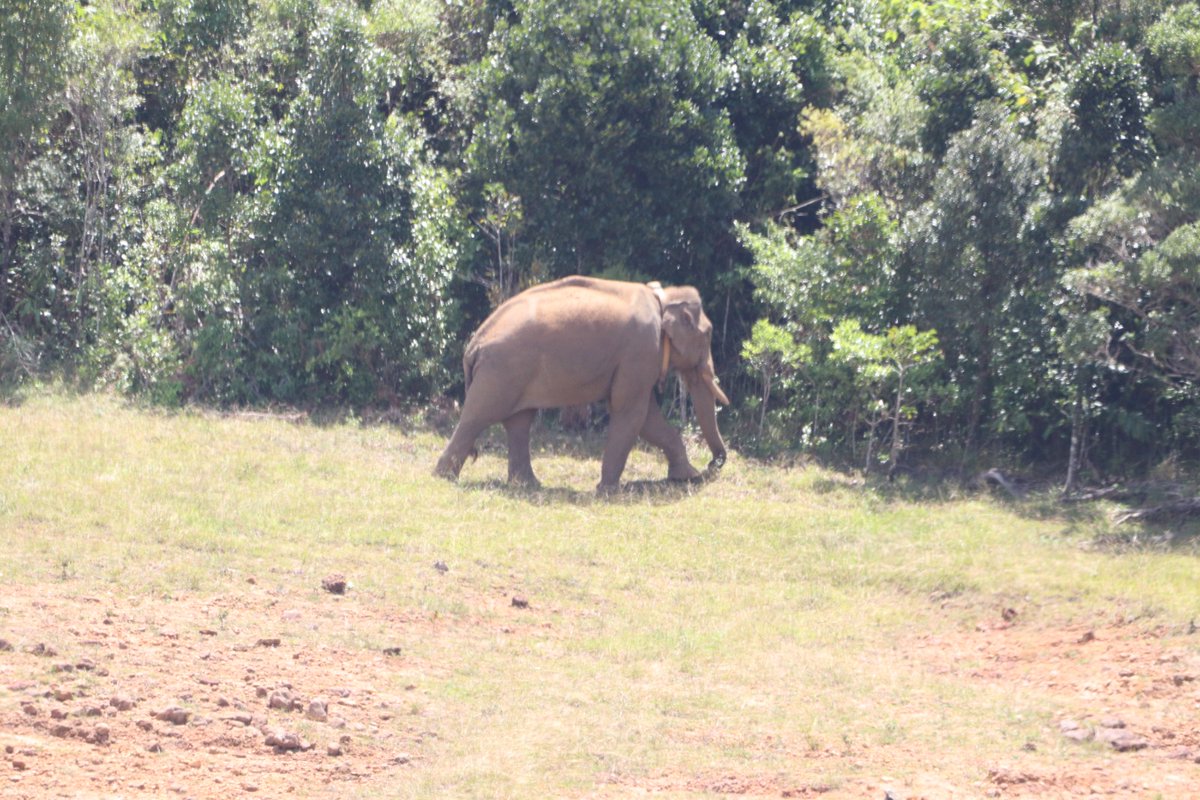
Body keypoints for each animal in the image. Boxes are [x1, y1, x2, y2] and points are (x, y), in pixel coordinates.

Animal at [434, 275, 730, 492]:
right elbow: (632, 412)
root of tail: (475, 342)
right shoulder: (640, 351)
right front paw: (607, 491)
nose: (713, 464)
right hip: (501, 371)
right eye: (708, 334)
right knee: (477, 418)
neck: (663, 298)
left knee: (518, 422)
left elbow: (646, 418)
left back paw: (527, 485)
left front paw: (686, 477)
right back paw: (443, 478)